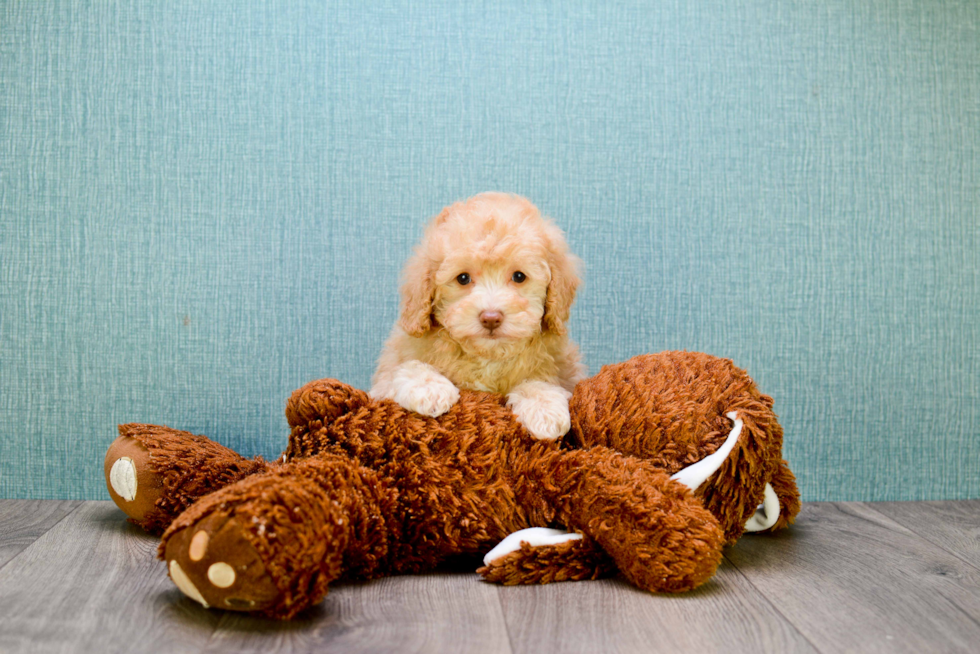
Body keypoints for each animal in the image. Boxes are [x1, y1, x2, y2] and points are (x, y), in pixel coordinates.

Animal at [368, 193, 580, 440]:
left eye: (519, 276)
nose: (491, 317)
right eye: (463, 278)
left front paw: (544, 408)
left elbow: (538, 379)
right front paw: (429, 388)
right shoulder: (383, 382)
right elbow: (401, 370)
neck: (487, 356)